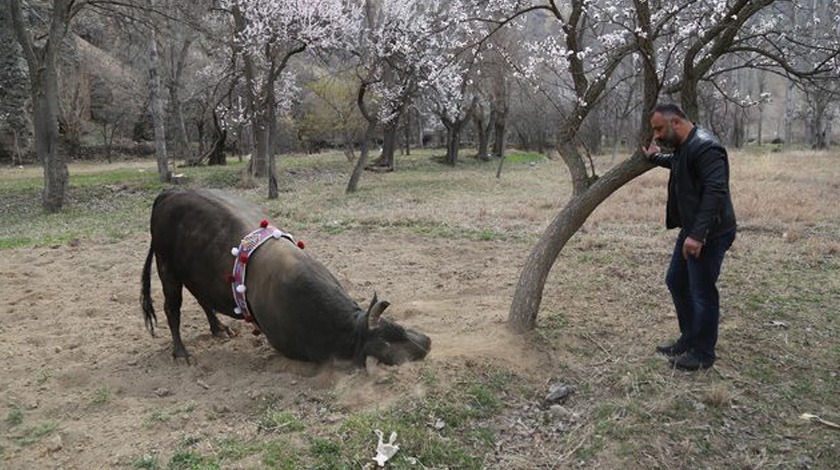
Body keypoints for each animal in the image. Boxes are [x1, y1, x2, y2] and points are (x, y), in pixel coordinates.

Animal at [140, 189, 430, 366]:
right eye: (386, 346)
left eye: (398, 326)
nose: (426, 343)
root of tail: (169, 193)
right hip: (167, 267)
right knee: (171, 309)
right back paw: (181, 353)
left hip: (194, 273)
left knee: (202, 298)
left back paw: (219, 328)